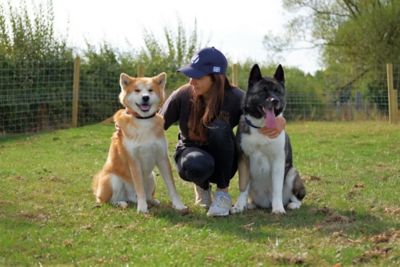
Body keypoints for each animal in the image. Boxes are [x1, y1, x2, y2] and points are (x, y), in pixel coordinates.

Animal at [92, 72, 188, 215]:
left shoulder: (162, 157)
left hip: (151, 176)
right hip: (112, 179)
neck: (143, 121)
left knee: (147, 195)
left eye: (150, 90)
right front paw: (142, 208)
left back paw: (152, 201)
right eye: (137, 90)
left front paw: (179, 205)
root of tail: (130, 197)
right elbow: (140, 188)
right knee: (107, 200)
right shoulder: (134, 160)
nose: (145, 97)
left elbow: (172, 187)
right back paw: (121, 203)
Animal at [230, 65, 304, 216]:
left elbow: (277, 188)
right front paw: (239, 206)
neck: (261, 127)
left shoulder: (278, 160)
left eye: (277, 91)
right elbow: (243, 185)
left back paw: (292, 205)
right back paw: (249, 204)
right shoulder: (243, 159)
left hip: (292, 173)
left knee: (296, 198)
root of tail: (265, 203)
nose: (275, 100)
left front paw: (278, 208)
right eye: (262, 91)